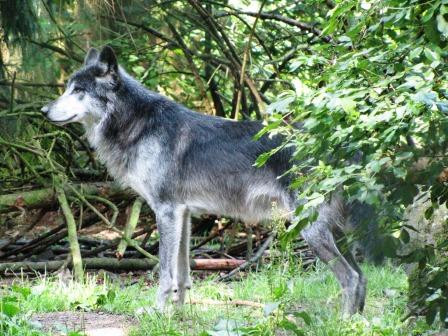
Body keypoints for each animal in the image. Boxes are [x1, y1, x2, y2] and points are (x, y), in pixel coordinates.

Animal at [40, 46, 366, 316]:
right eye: (67, 88)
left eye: (79, 90)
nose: (43, 110)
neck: (140, 124)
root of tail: (336, 146)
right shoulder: (183, 215)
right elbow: (183, 274)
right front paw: (178, 314)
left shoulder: (166, 211)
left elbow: (165, 272)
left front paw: (157, 312)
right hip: (334, 233)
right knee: (362, 276)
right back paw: (357, 321)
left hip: (310, 231)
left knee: (350, 278)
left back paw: (344, 323)